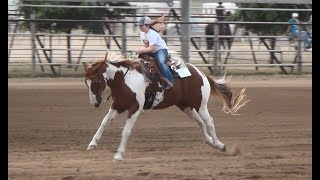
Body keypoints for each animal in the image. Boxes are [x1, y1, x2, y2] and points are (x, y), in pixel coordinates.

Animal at [82, 51, 248, 161]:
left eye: (95, 82)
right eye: (86, 83)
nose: (95, 103)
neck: (124, 79)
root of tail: (201, 73)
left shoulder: (135, 108)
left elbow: (126, 131)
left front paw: (118, 154)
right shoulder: (118, 105)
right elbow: (104, 122)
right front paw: (92, 144)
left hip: (200, 105)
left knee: (209, 121)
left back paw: (220, 145)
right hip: (186, 106)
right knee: (200, 122)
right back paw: (211, 142)